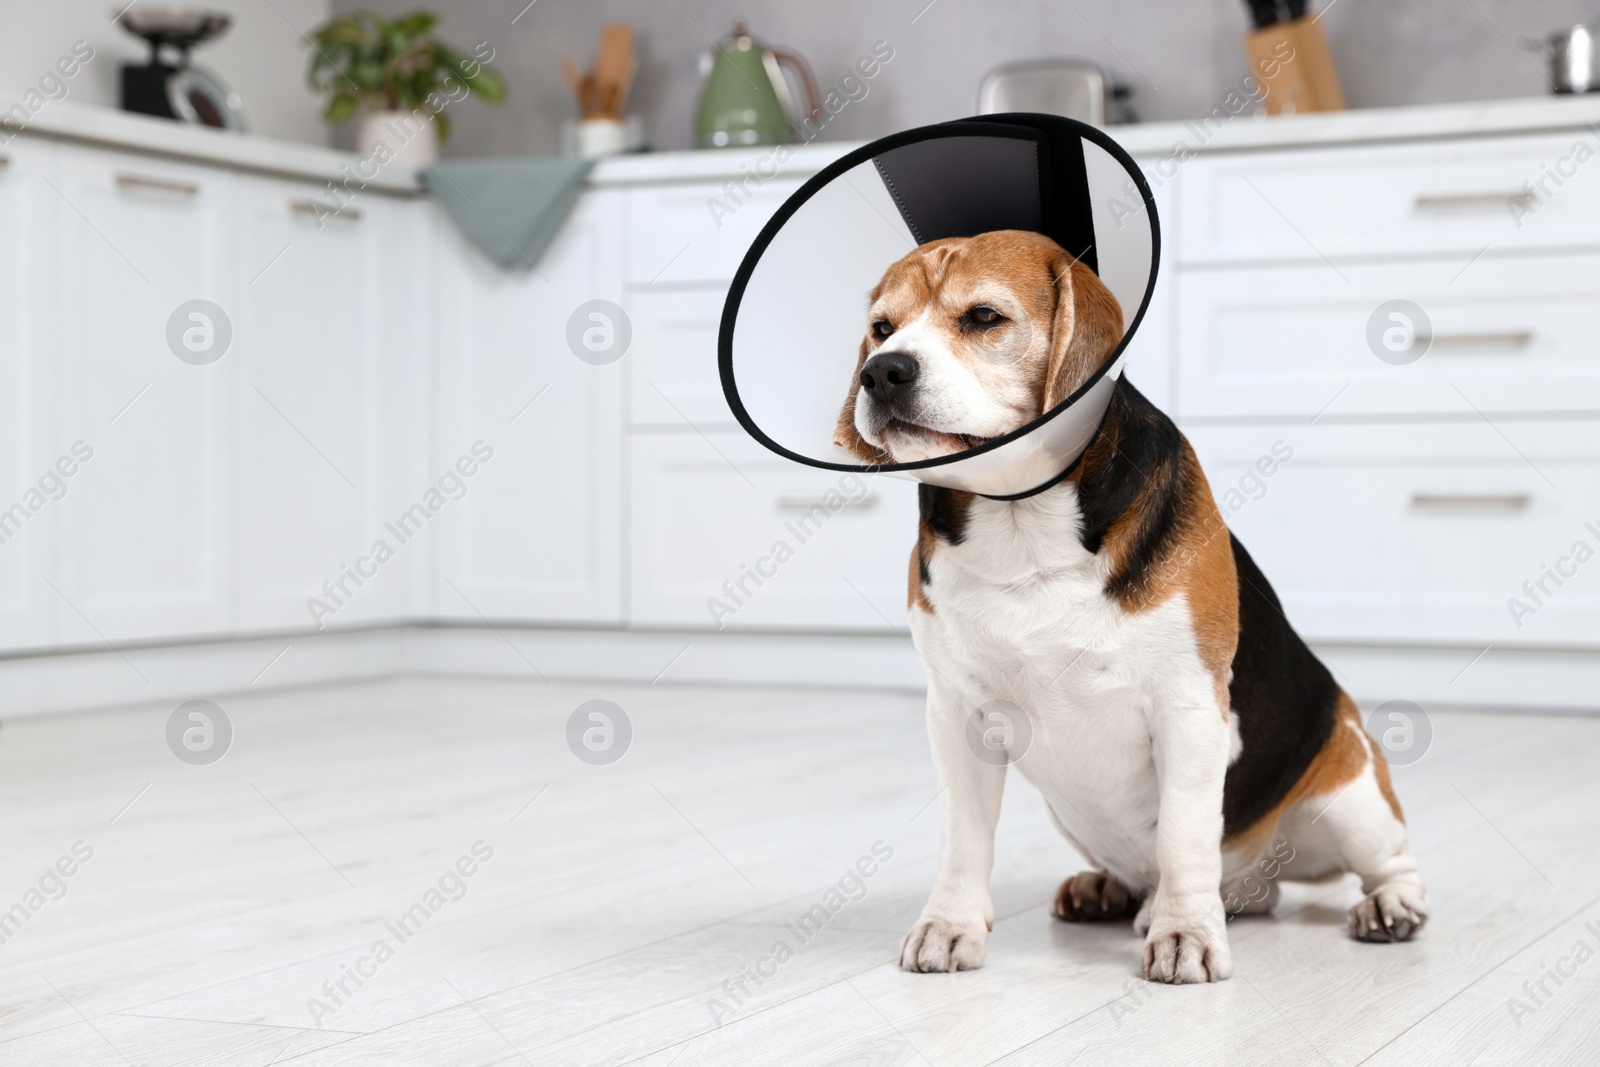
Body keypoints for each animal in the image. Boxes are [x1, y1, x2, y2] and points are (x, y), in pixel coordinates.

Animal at [838, 231, 1427, 985]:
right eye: (882, 328)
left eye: (983, 318)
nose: (881, 373)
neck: (1021, 517)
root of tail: (1256, 878)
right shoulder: (957, 714)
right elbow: (964, 838)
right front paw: (950, 923)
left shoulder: (1189, 707)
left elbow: (1182, 833)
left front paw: (1184, 935)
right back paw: (1114, 891)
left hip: (1348, 794)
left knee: (1387, 861)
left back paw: (1384, 906)